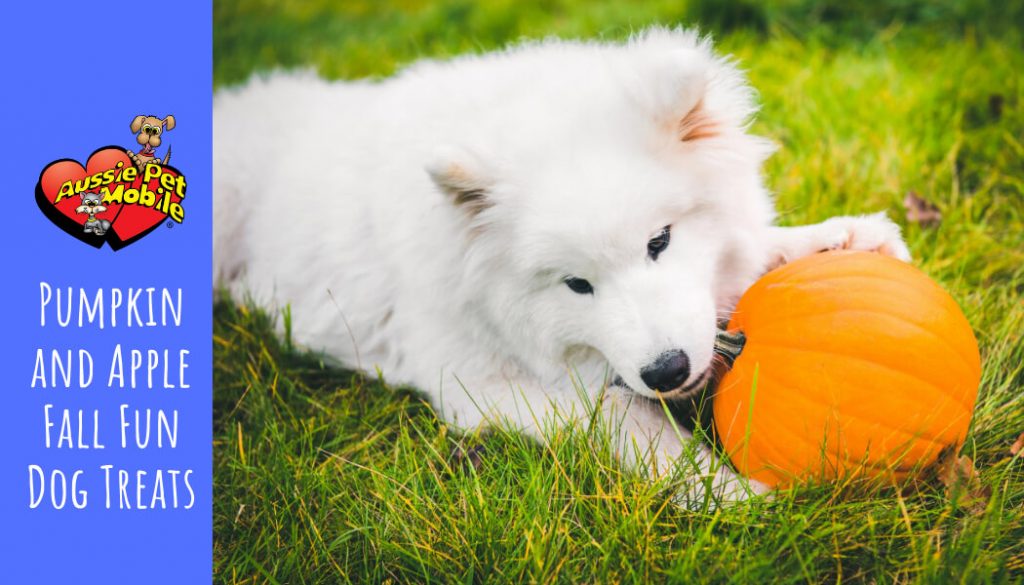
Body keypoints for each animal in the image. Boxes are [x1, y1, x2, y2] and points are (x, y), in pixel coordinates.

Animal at [216, 27, 913, 504]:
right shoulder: (479, 384)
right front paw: (728, 493)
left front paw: (844, 239)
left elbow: (758, 250)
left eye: (660, 241)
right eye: (578, 285)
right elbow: (625, 421)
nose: (666, 371)